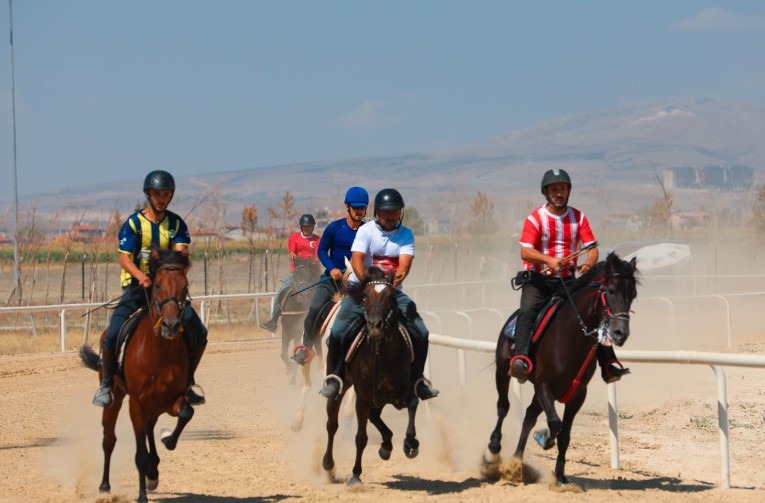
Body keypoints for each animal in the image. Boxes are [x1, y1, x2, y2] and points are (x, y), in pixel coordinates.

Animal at [79, 249, 194, 503]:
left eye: (185, 285)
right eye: (158, 285)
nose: (171, 325)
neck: (160, 351)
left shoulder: (172, 398)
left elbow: (186, 412)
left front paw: (168, 440)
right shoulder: (136, 403)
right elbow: (138, 452)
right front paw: (141, 494)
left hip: (155, 404)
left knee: (150, 427)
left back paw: (153, 470)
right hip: (116, 397)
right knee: (109, 439)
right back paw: (105, 485)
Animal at [320, 270, 420, 486]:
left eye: (391, 296)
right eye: (366, 296)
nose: (376, 326)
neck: (380, 353)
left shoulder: (400, 391)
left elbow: (414, 403)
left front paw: (410, 443)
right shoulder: (363, 398)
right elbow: (360, 437)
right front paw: (356, 474)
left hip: (380, 398)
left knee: (375, 416)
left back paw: (387, 445)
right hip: (341, 387)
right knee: (332, 424)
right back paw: (328, 465)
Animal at [484, 252, 640, 488]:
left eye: (633, 293)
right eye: (610, 290)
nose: (620, 333)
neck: (571, 337)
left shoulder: (577, 394)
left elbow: (564, 434)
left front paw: (560, 475)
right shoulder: (543, 385)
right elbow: (555, 423)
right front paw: (544, 438)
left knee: (528, 416)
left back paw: (516, 462)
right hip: (503, 370)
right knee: (503, 406)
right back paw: (493, 450)